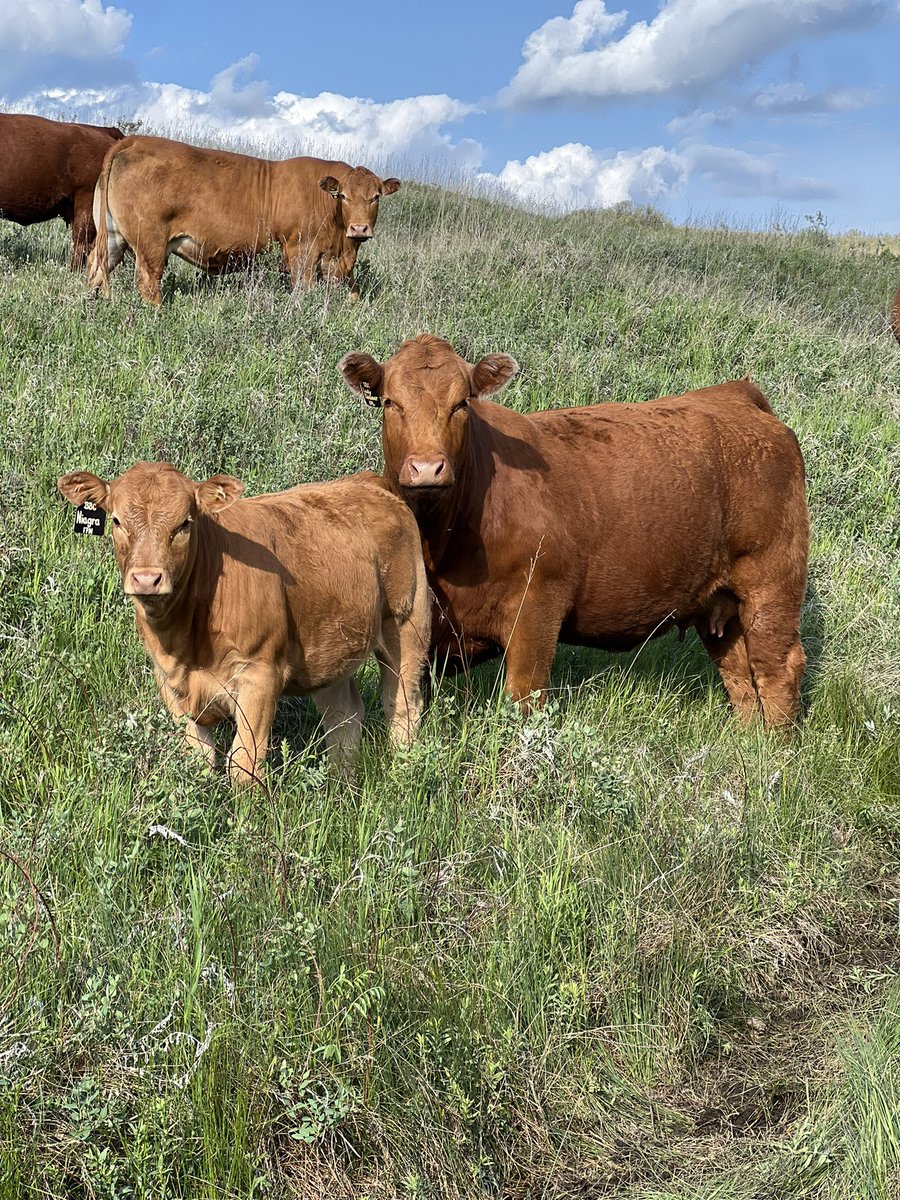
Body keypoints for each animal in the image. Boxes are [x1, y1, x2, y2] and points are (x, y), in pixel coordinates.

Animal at [57, 463, 430, 785]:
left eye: (184, 524)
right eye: (117, 521)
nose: (147, 579)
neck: (186, 640)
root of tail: (369, 481)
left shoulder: (259, 676)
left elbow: (244, 764)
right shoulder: (170, 684)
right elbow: (199, 759)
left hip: (407, 624)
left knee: (402, 707)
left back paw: (404, 774)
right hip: (331, 651)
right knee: (344, 716)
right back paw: (342, 785)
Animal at [86, 135, 401, 304]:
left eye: (375, 197)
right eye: (343, 196)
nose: (359, 228)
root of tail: (135, 141)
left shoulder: (340, 264)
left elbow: (354, 294)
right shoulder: (303, 254)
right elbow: (304, 291)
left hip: (113, 237)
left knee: (96, 271)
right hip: (149, 242)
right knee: (148, 280)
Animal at [339, 334, 809, 727]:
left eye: (462, 405)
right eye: (389, 403)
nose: (426, 468)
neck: (444, 540)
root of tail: (737, 396)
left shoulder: (537, 608)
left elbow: (525, 698)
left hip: (772, 583)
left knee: (778, 667)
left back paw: (774, 752)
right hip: (720, 602)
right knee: (739, 671)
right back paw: (749, 740)